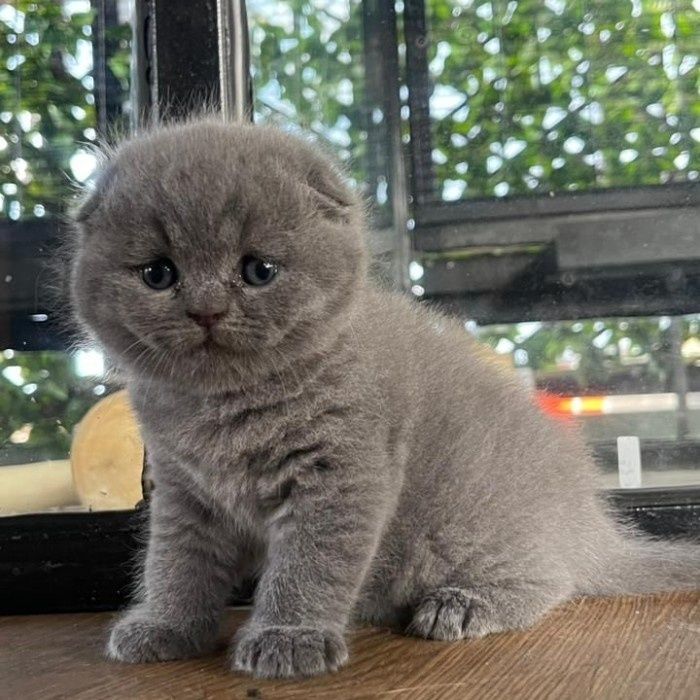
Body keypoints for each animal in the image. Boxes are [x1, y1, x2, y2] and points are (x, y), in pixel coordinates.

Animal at [68, 119, 696, 680]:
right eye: (158, 273)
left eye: (258, 269)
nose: (206, 310)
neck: (222, 406)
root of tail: (591, 526)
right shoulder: (184, 490)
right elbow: (175, 562)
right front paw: (165, 626)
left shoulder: (343, 472)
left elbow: (310, 563)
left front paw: (289, 637)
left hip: (470, 526)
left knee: (553, 579)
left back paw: (462, 604)